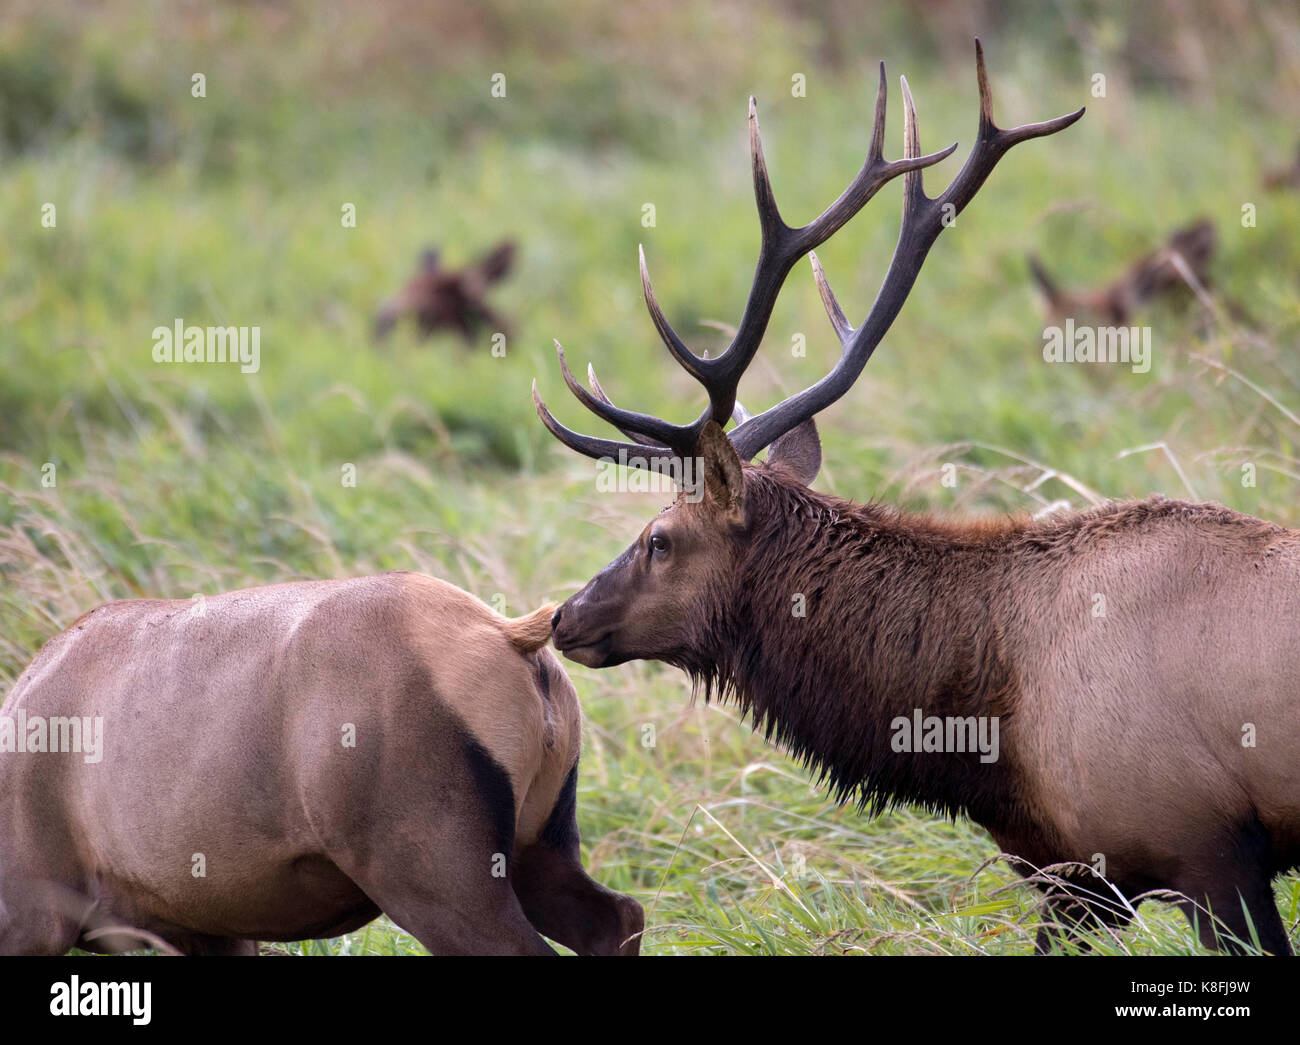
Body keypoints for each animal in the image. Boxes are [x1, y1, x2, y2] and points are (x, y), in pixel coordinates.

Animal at [0, 573, 643, 955]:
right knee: (619, 915)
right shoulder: (206, 931)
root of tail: (511, 635)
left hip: (435, 877)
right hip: (538, 847)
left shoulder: (38, 915)